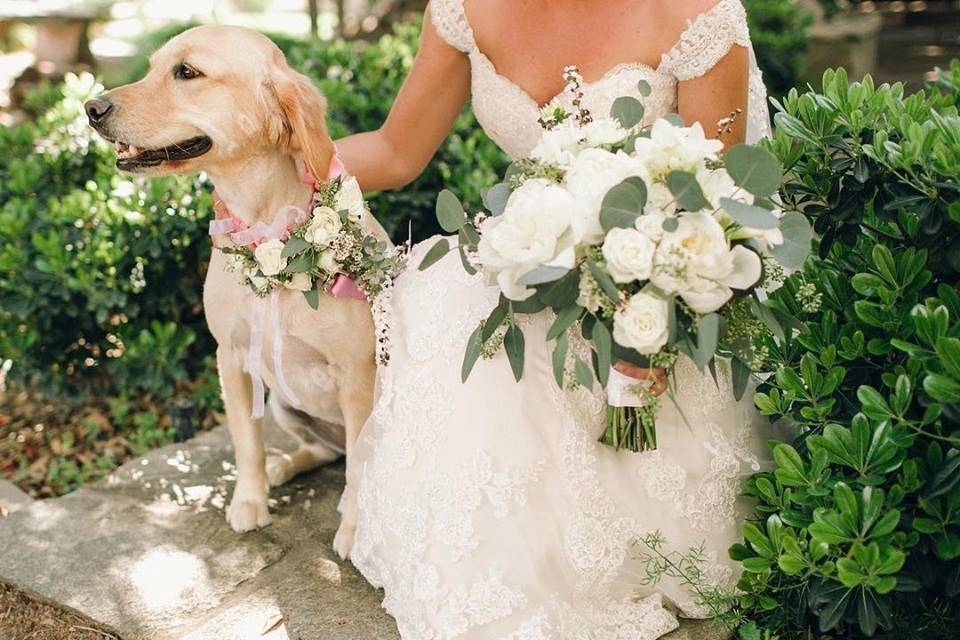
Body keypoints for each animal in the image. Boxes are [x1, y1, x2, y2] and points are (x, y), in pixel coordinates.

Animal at [82, 25, 382, 556]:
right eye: (152, 67)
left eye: (187, 72)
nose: (92, 108)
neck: (267, 233)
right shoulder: (232, 357)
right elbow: (247, 444)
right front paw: (250, 501)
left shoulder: (357, 374)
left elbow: (359, 469)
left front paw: (353, 530)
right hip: (283, 403)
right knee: (321, 450)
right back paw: (286, 465)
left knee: (347, 459)